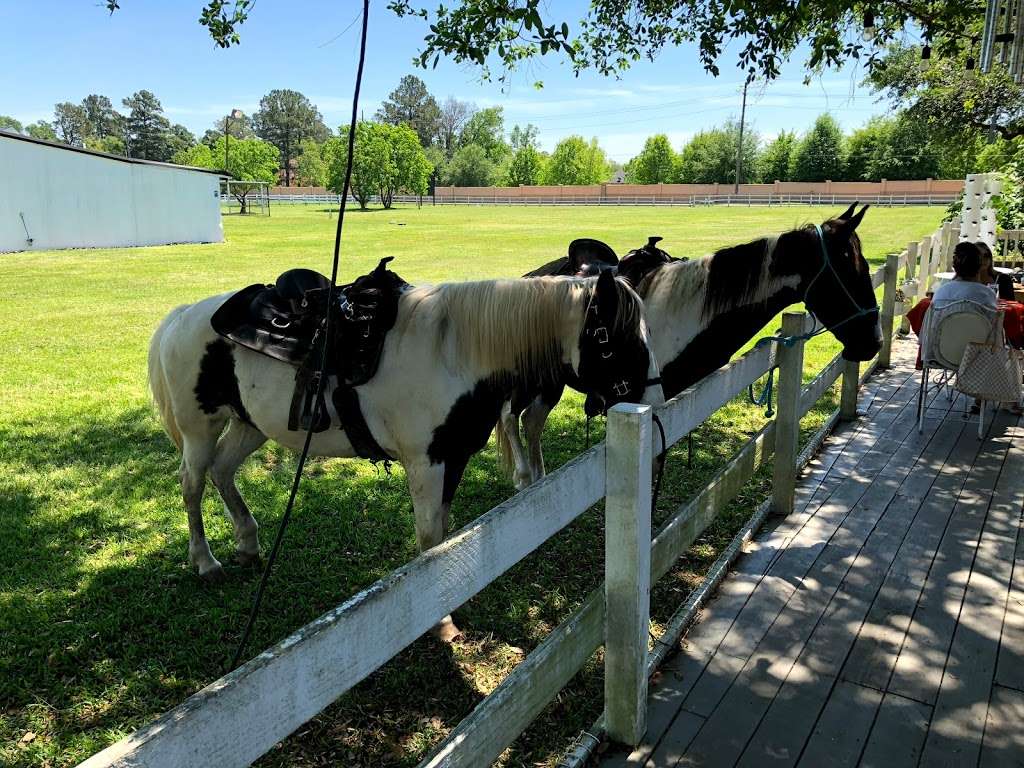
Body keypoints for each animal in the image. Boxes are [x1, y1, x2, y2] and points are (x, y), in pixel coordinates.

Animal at [149, 272, 663, 638]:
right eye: (612, 340)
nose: (656, 403)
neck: (454, 354)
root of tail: (182, 316)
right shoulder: (426, 464)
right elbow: (430, 539)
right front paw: (440, 621)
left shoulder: (453, 460)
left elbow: (446, 533)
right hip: (199, 428)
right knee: (192, 482)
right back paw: (205, 562)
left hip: (249, 425)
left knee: (222, 471)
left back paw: (248, 544)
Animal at [497, 204, 880, 489]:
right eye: (849, 270)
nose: (873, 342)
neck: (682, 314)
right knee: (510, 417)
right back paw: (524, 478)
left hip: (551, 383)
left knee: (531, 421)